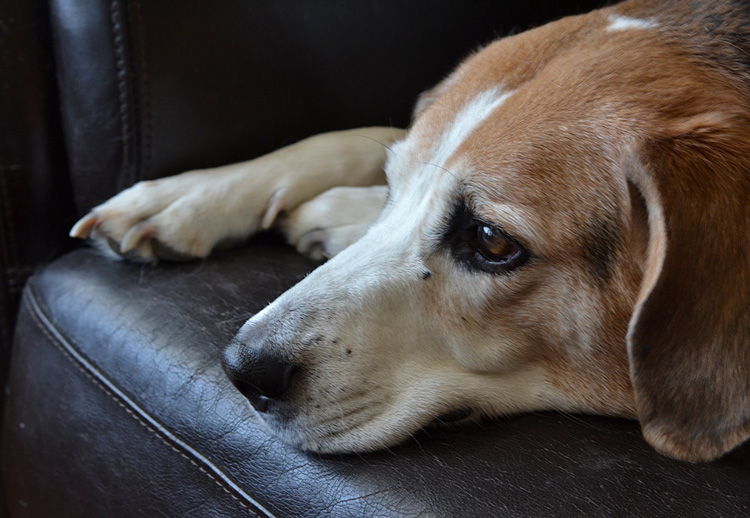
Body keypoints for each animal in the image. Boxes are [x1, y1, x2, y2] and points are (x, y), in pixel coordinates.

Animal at [72, 0, 750, 464]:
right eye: (395, 189)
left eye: (492, 242)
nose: (241, 371)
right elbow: (356, 136)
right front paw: (192, 194)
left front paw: (334, 212)